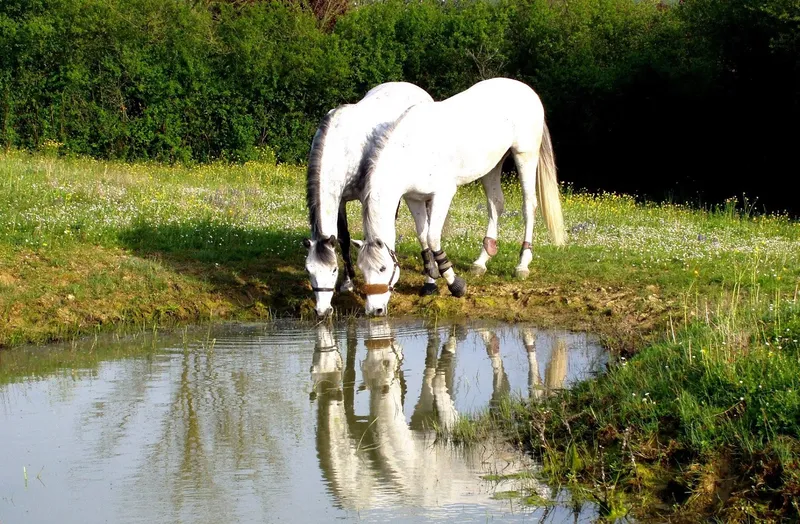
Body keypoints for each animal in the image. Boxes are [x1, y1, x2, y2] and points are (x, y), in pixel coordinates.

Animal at [302, 82, 434, 320]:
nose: (323, 311)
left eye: (333, 270)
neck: (341, 148)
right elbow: (343, 239)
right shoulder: (340, 201)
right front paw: (348, 283)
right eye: (309, 270)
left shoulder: (367, 196)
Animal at [356, 77, 568, 316]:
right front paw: (430, 283)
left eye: (383, 268)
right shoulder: (414, 199)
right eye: (361, 269)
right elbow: (423, 236)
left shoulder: (443, 194)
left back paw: (522, 265)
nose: (374, 310)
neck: (412, 149)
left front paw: (455, 284)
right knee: (496, 205)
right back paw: (481, 262)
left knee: (528, 206)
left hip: (525, 156)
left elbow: (433, 237)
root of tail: (526, 90)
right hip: (492, 165)